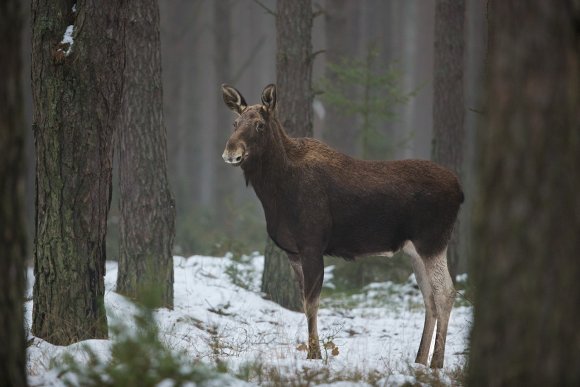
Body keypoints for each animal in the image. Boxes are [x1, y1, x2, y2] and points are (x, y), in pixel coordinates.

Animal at [220, 83, 464, 368]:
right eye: (234, 122)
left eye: (259, 125)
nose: (230, 153)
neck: (274, 192)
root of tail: (461, 191)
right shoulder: (293, 252)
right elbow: (304, 303)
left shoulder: (312, 244)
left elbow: (312, 303)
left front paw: (314, 355)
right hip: (415, 250)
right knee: (429, 298)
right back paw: (419, 360)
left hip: (433, 242)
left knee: (446, 293)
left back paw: (436, 363)